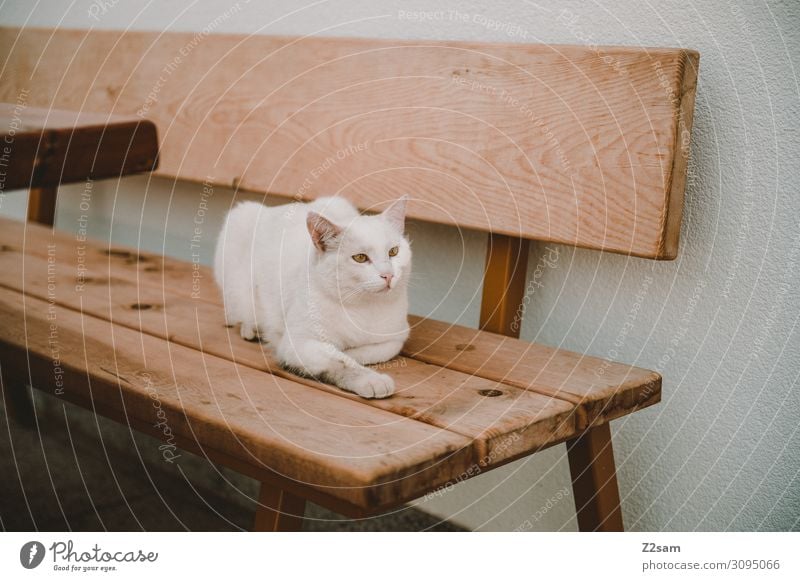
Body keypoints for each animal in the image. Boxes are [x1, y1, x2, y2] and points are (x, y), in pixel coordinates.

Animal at [212, 195, 410, 398]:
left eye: (393, 252)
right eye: (360, 258)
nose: (388, 275)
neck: (363, 307)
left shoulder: (395, 340)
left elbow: (361, 353)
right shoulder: (298, 343)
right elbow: (341, 361)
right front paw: (371, 380)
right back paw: (252, 328)